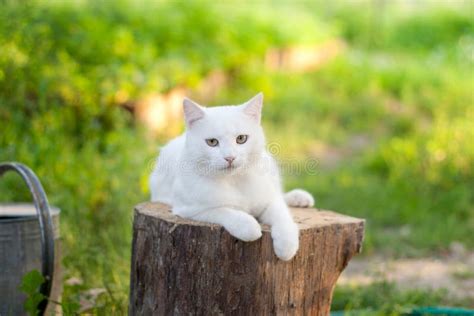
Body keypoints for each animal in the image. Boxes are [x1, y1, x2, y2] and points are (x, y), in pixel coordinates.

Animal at [150, 92, 314, 260]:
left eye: (241, 138)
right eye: (212, 142)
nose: (230, 157)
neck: (235, 181)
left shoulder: (269, 201)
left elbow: (282, 215)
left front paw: (286, 245)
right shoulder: (191, 210)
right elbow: (225, 212)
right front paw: (249, 226)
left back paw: (299, 197)